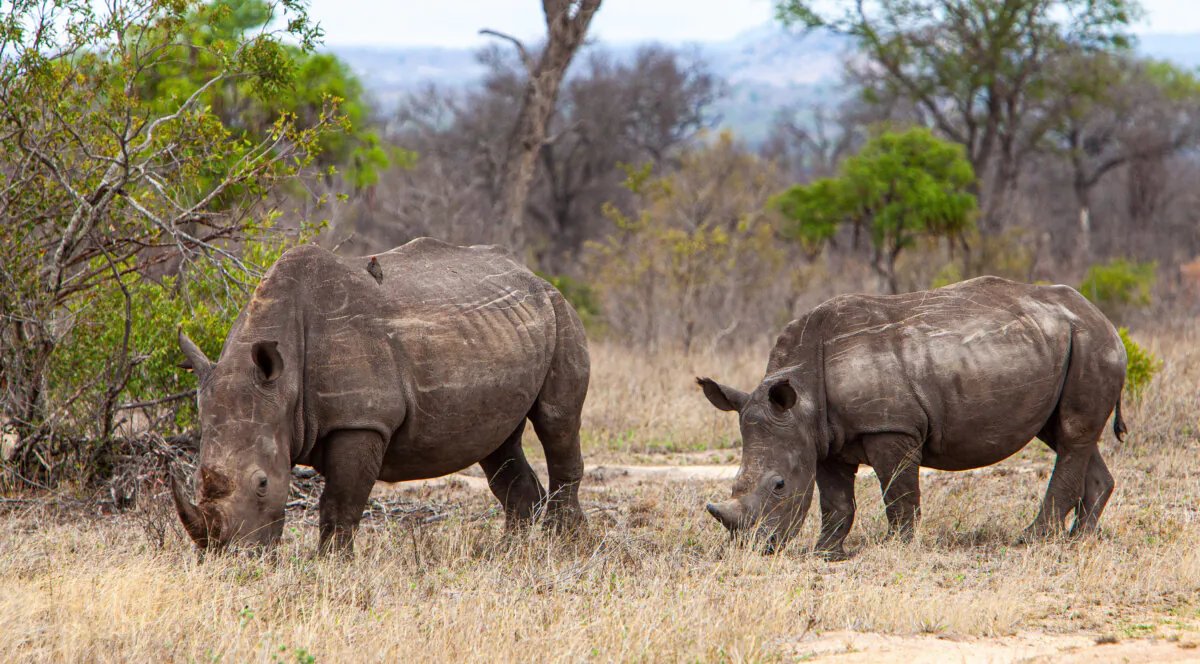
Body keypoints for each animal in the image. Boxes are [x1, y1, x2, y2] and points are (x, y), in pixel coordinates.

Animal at [171, 238, 590, 554]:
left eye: (262, 483)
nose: (228, 560)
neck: (282, 387)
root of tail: (535, 277)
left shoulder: (362, 421)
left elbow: (340, 505)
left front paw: (331, 569)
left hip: (562, 314)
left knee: (557, 423)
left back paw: (564, 547)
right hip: (502, 331)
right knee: (497, 444)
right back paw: (510, 555)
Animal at [698, 277, 1128, 557]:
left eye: (779, 485)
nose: (754, 547)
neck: (801, 397)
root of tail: (1102, 317)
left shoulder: (891, 428)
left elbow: (898, 493)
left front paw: (897, 546)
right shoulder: (823, 437)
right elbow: (836, 501)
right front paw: (825, 553)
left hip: (1090, 343)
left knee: (1071, 434)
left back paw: (1033, 539)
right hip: (1062, 345)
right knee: (1065, 435)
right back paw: (1080, 539)